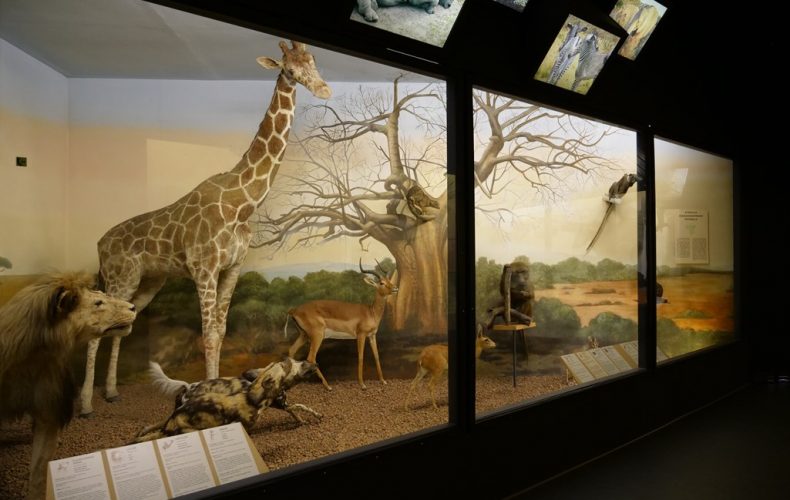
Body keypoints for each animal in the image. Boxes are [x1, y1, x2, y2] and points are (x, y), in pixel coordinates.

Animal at [79, 40, 331, 417]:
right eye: (289, 69)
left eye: (313, 60)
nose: (324, 89)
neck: (242, 203)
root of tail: (99, 243)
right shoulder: (204, 268)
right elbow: (209, 334)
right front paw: (212, 395)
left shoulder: (232, 267)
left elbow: (221, 331)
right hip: (118, 278)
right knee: (99, 329)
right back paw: (84, 405)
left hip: (148, 282)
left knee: (121, 327)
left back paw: (110, 393)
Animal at [284, 260, 397, 390]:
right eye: (381, 283)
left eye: (389, 280)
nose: (395, 288)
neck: (371, 312)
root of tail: (294, 310)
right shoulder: (361, 335)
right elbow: (361, 357)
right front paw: (362, 384)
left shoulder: (372, 335)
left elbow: (377, 356)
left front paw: (383, 381)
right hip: (317, 335)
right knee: (311, 357)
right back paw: (328, 386)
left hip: (304, 335)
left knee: (292, 350)